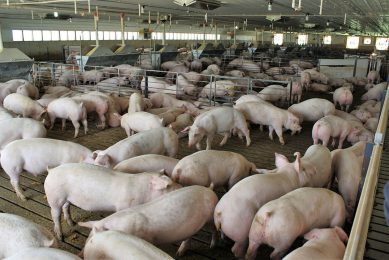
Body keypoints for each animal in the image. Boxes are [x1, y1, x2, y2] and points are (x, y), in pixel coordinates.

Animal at [79, 186, 218, 256]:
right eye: (89, 236)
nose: (81, 254)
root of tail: (209, 190)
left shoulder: (146, 238)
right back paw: (179, 253)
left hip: (212, 216)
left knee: (215, 230)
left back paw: (212, 247)